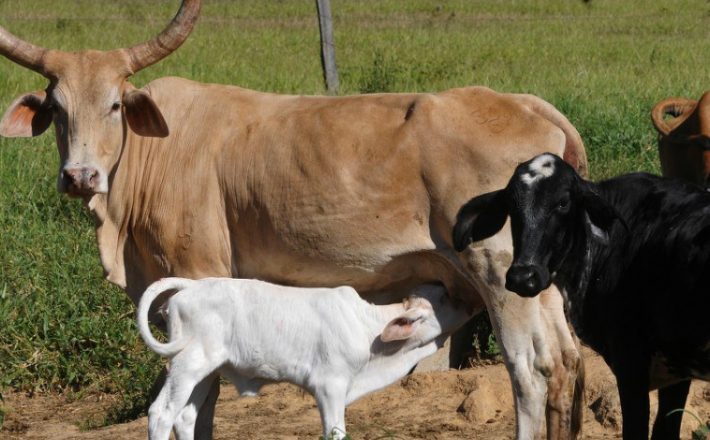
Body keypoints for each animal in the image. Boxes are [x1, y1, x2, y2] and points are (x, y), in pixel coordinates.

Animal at [139, 276, 472, 438]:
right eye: (444, 298)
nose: (470, 303)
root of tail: (191, 286)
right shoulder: (329, 386)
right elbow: (335, 433)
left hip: (206, 371)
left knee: (185, 417)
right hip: (187, 364)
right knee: (161, 414)